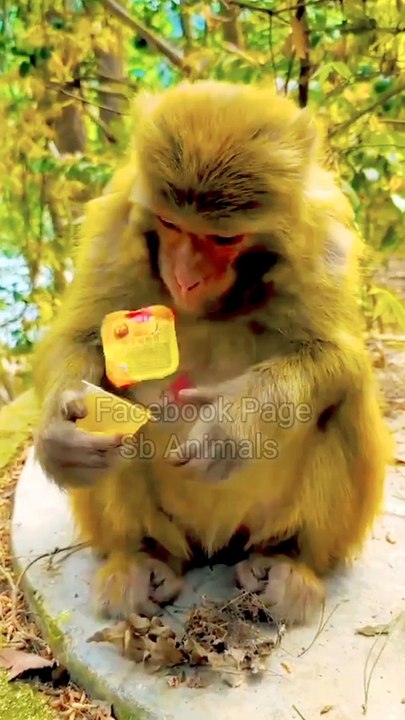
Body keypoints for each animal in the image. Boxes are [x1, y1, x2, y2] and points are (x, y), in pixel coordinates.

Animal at [33, 80, 390, 625]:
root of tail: (214, 545)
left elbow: (340, 357)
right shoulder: (116, 218)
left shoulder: (324, 236)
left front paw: (234, 424)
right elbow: (81, 337)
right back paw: (143, 557)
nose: (185, 278)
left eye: (224, 239)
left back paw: (286, 561)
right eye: (169, 223)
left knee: (342, 404)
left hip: (265, 526)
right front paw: (59, 438)